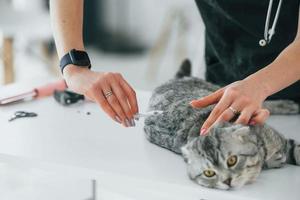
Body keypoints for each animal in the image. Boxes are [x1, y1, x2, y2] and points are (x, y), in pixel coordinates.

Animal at [144, 59, 300, 189]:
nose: (227, 180)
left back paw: (286, 105)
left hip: (219, 89)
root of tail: (172, 81)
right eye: (209, 172)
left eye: (232, 161)